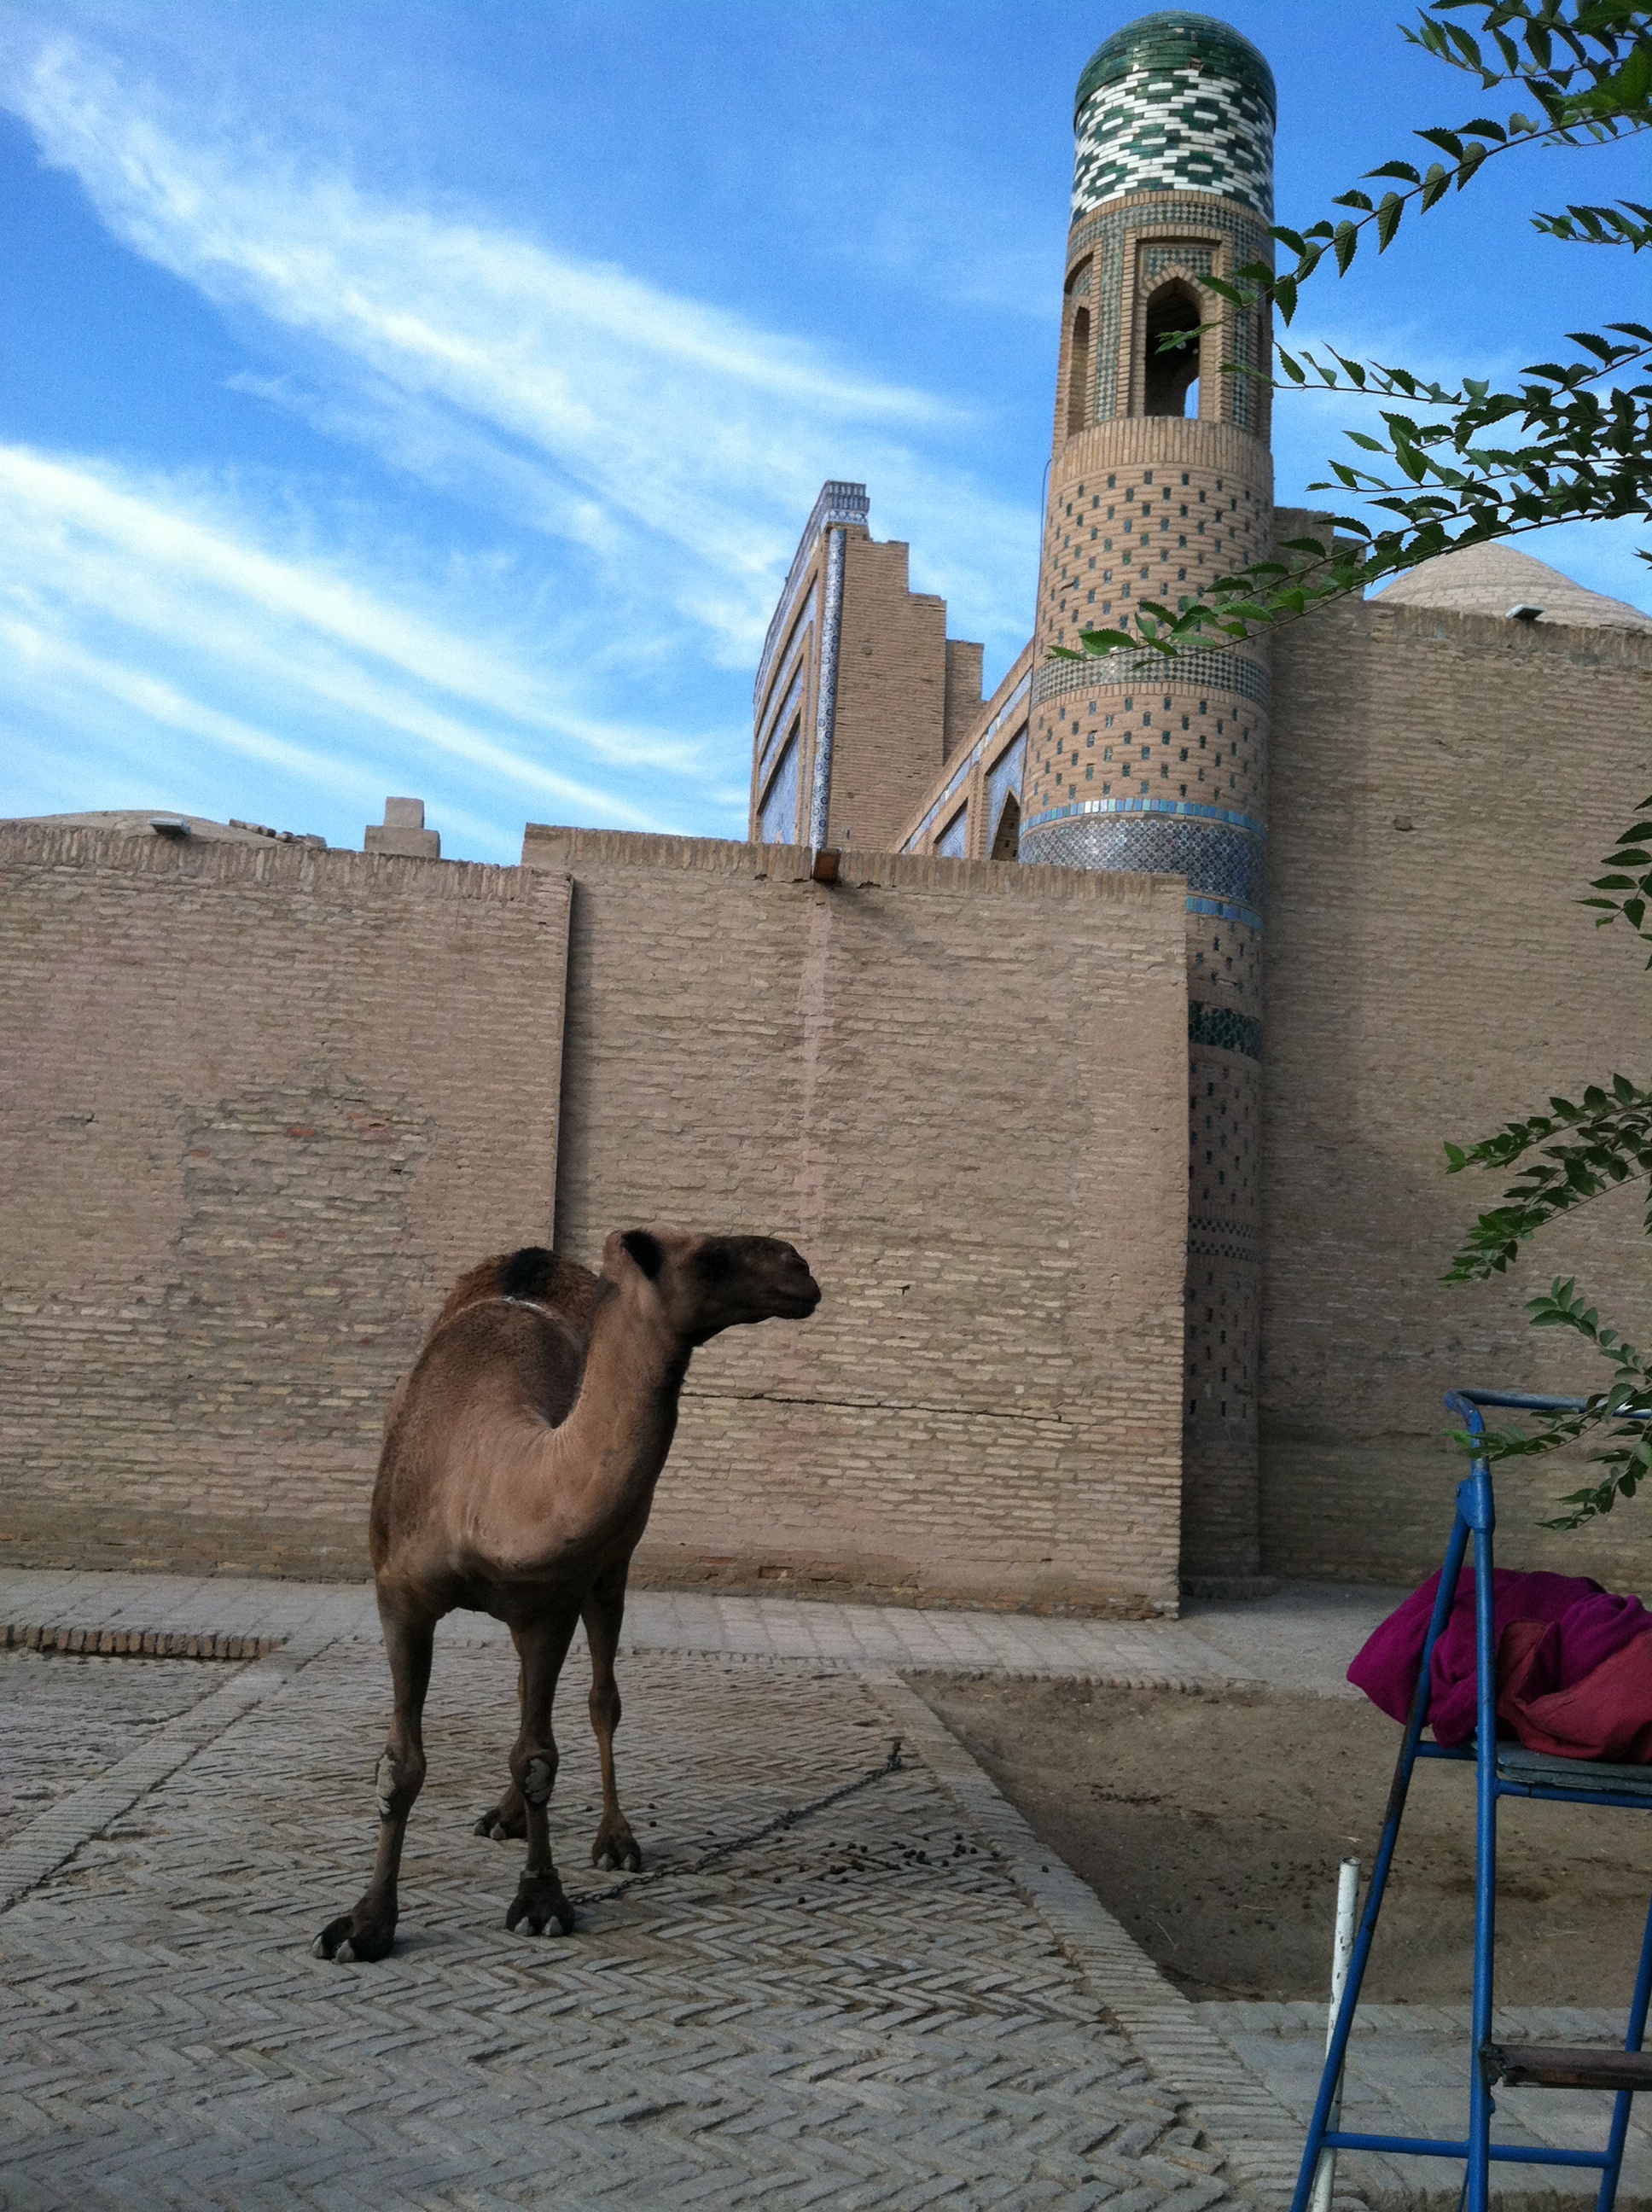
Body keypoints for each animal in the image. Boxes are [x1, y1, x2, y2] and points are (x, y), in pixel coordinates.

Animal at [313, 1224, 820, 1962]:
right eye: (711, 1257)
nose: (801, 1268)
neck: (486, 1480)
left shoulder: (549, 1602)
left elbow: (539, 1758)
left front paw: (541, 1901)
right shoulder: (399, 1597)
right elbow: (400, 1765)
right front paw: (365, 1923)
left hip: (610, 1568)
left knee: (599, 1698)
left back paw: (612, 1837)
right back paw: (505, 1817)